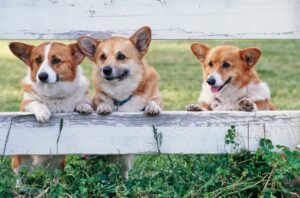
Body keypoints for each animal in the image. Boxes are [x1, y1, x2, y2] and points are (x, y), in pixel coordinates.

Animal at [9, 41, 92, 176]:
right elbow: (36, 102)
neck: (54, 94)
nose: (42, 76)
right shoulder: (25, 104)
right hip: (20, 163)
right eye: (37, 60)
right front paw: (43, 112)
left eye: (56, 60)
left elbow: (80, 102)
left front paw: (83, 106)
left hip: (57, 166)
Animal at [77, 26, 162, 179]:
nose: (106, 69)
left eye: (121, 56)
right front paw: (104, 106)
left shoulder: (156, 96)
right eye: (102, 57)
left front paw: (152, 107)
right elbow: (99, 102)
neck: (120, 91)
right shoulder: (96, 98)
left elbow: (154, 101)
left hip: (126, 157)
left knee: (124, 170)